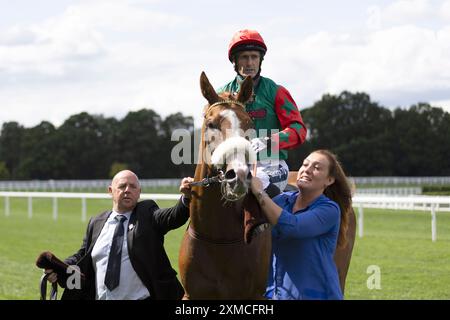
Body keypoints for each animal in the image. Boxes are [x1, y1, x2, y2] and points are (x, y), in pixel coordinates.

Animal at [178, 72, 270, 300]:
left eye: (249, 122)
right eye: (211, 123)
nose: (238, 175)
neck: (218, 237)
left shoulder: (254, 294)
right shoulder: (192, 294)